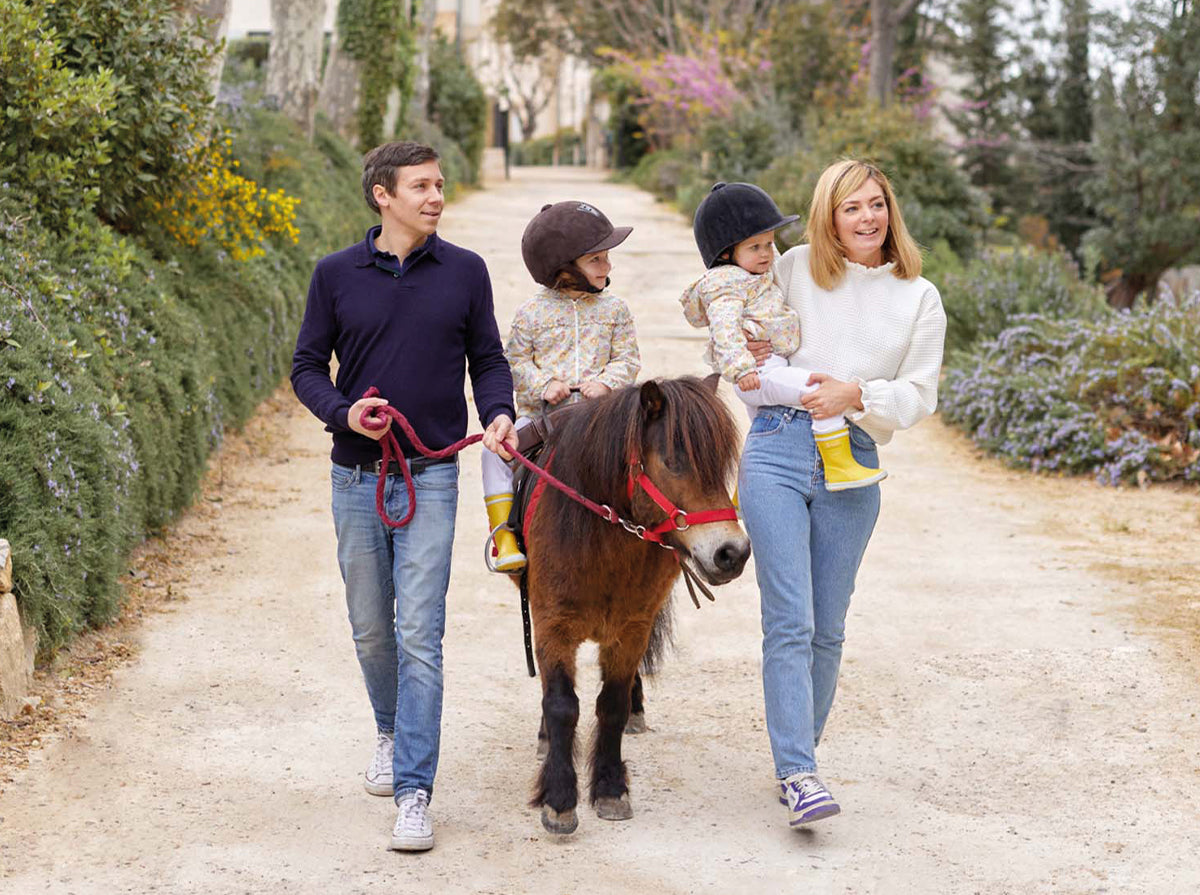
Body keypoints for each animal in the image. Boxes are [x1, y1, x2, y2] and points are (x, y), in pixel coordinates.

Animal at [518, 374, 744, 830]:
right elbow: (562, 705)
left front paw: (609, 789)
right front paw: (559, 797)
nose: (733, 553)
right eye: (674, 462)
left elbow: (613, 705)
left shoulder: (631, 630)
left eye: (721, 464)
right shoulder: (553, 626)